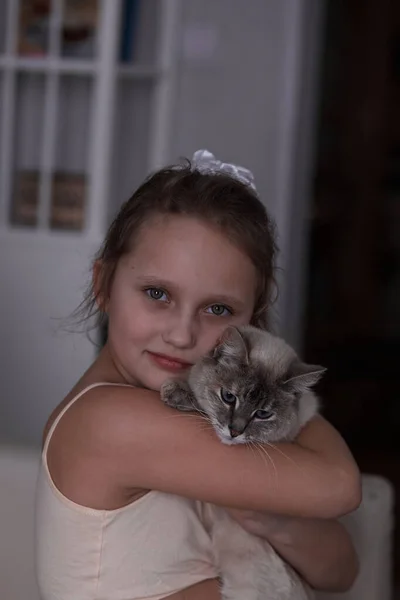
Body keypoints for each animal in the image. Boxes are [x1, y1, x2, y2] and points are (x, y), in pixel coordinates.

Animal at [161, 328, 326, 600]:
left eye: (263, 414)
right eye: (229, 397)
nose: (235, 432)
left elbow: (198, 406)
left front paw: (176, 392)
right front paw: (176, 388)